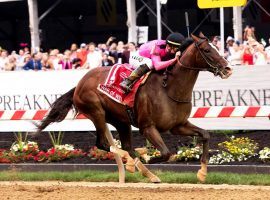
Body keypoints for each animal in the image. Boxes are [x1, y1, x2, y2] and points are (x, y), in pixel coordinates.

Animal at [37, 32, 233, 181]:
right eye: (207, 50)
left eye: (217, 47)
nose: (228, 69)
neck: (170, 88)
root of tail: (79, 83)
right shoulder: (148, 127)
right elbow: (165, 153)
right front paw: (145, 158)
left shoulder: (178, 126)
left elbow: (205, 135)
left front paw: (202, 172)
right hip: (96, 111)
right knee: (105, 144)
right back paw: (136, 162)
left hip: (121, 121)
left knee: (125, 146)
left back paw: (144, 170)